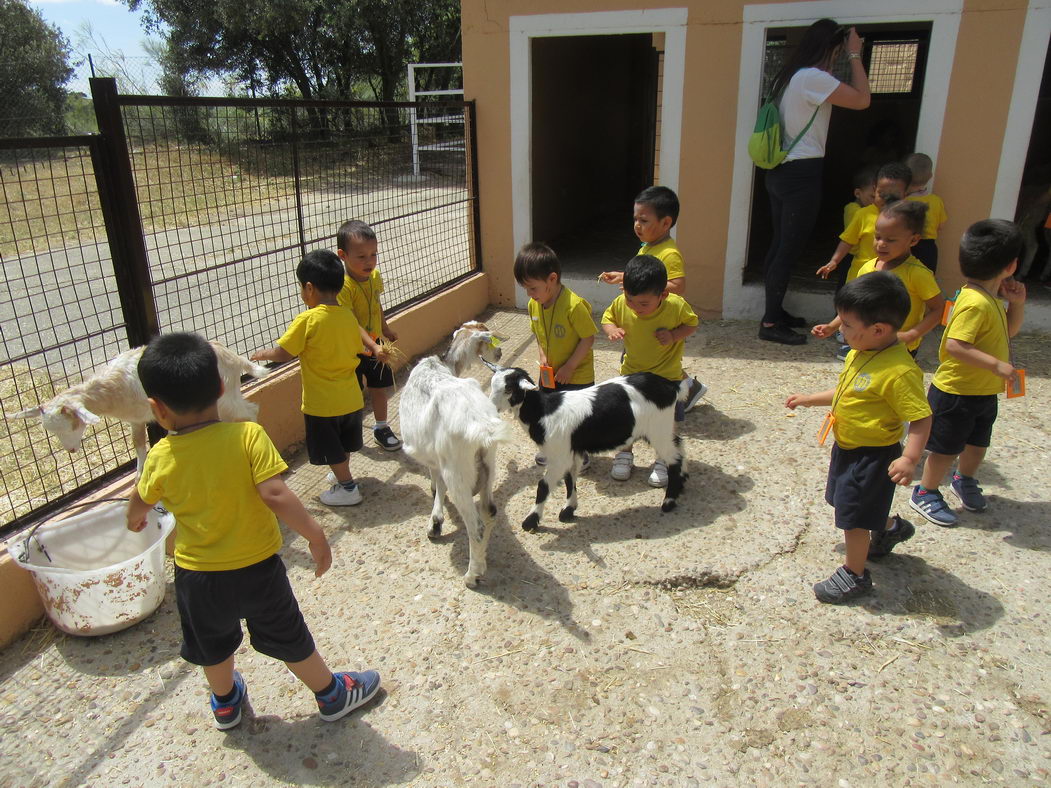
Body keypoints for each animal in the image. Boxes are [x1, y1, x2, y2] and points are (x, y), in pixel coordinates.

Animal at [12, 340, 266, 474]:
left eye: (72, 424)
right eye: (51, 431)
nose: (71, 450)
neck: (116, 387)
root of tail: (233, 357)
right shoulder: (135, 419)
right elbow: (138, 444)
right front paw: (139, 475)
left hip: (225, 400)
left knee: (250, 411)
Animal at [395, 321, 510, 588]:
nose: (499, 353)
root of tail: (481, 427)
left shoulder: (437, 459)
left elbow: (437, 481)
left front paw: (435, 522)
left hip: (457, 471)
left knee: (475, 526)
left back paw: (472, 575)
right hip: (488, 465)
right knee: (489, 511)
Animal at [485, 369, 689, 531]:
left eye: (509, 389)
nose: (490, 408)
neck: (543, 412)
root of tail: (672, 386)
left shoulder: (559, 456)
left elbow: (543, 486)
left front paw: (530, 521)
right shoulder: (570, 452)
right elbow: (570, 478)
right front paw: (568, 510)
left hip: (658, 428)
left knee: (674, 459)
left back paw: (669, 502)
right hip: (661, 428)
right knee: (679, 444)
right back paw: (683, 481)